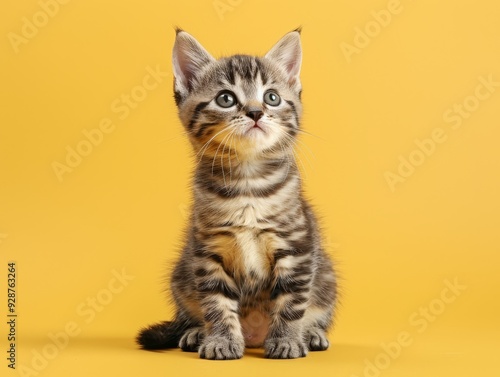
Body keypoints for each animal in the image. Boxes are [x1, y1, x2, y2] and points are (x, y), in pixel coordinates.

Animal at [138, 28, 336, 358]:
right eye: (225, 99)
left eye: (272, 97)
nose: (256, 112)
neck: (248, 184)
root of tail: (255, 337)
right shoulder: (207, 250)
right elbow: (216, 302)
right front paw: (220, 340)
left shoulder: (297, 248)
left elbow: (292, 300)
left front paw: (287, 339)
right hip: (181, 275)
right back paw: (196, 332)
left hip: (327, 278)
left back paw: (310, 333)